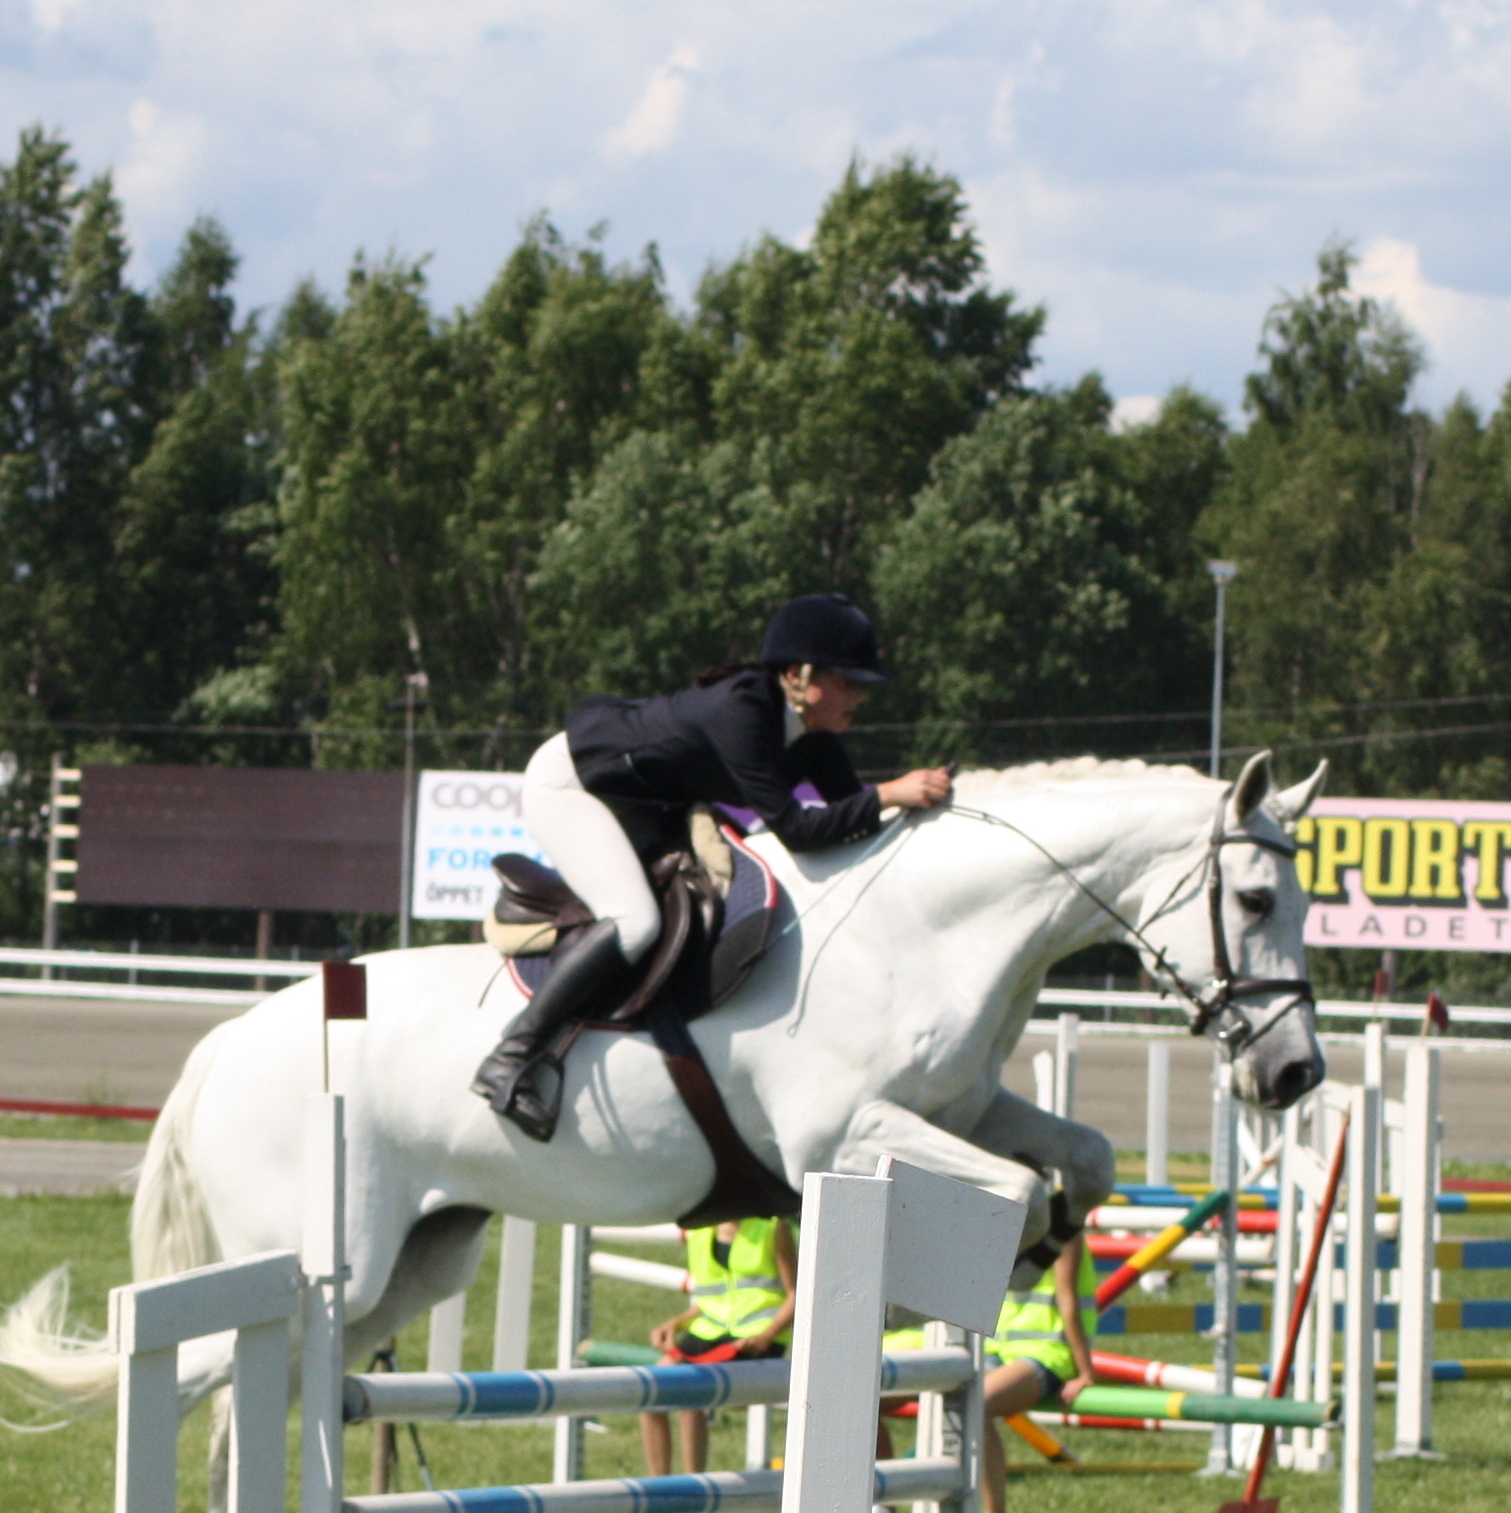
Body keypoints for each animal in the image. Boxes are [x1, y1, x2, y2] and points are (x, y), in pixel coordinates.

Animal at [0, 749, 1326, 1499]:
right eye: (1256, 895)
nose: (1294, 1072)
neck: (927, 928)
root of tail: (225, 1044)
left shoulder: (963, 1107)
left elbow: (1080, 1157)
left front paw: (1049, 1247)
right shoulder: (842, 1139)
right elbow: (993, 1195)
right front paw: (993, 1269)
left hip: (408, 1269)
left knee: (252, 1403)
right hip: (329, 1260)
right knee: (204, 1381)